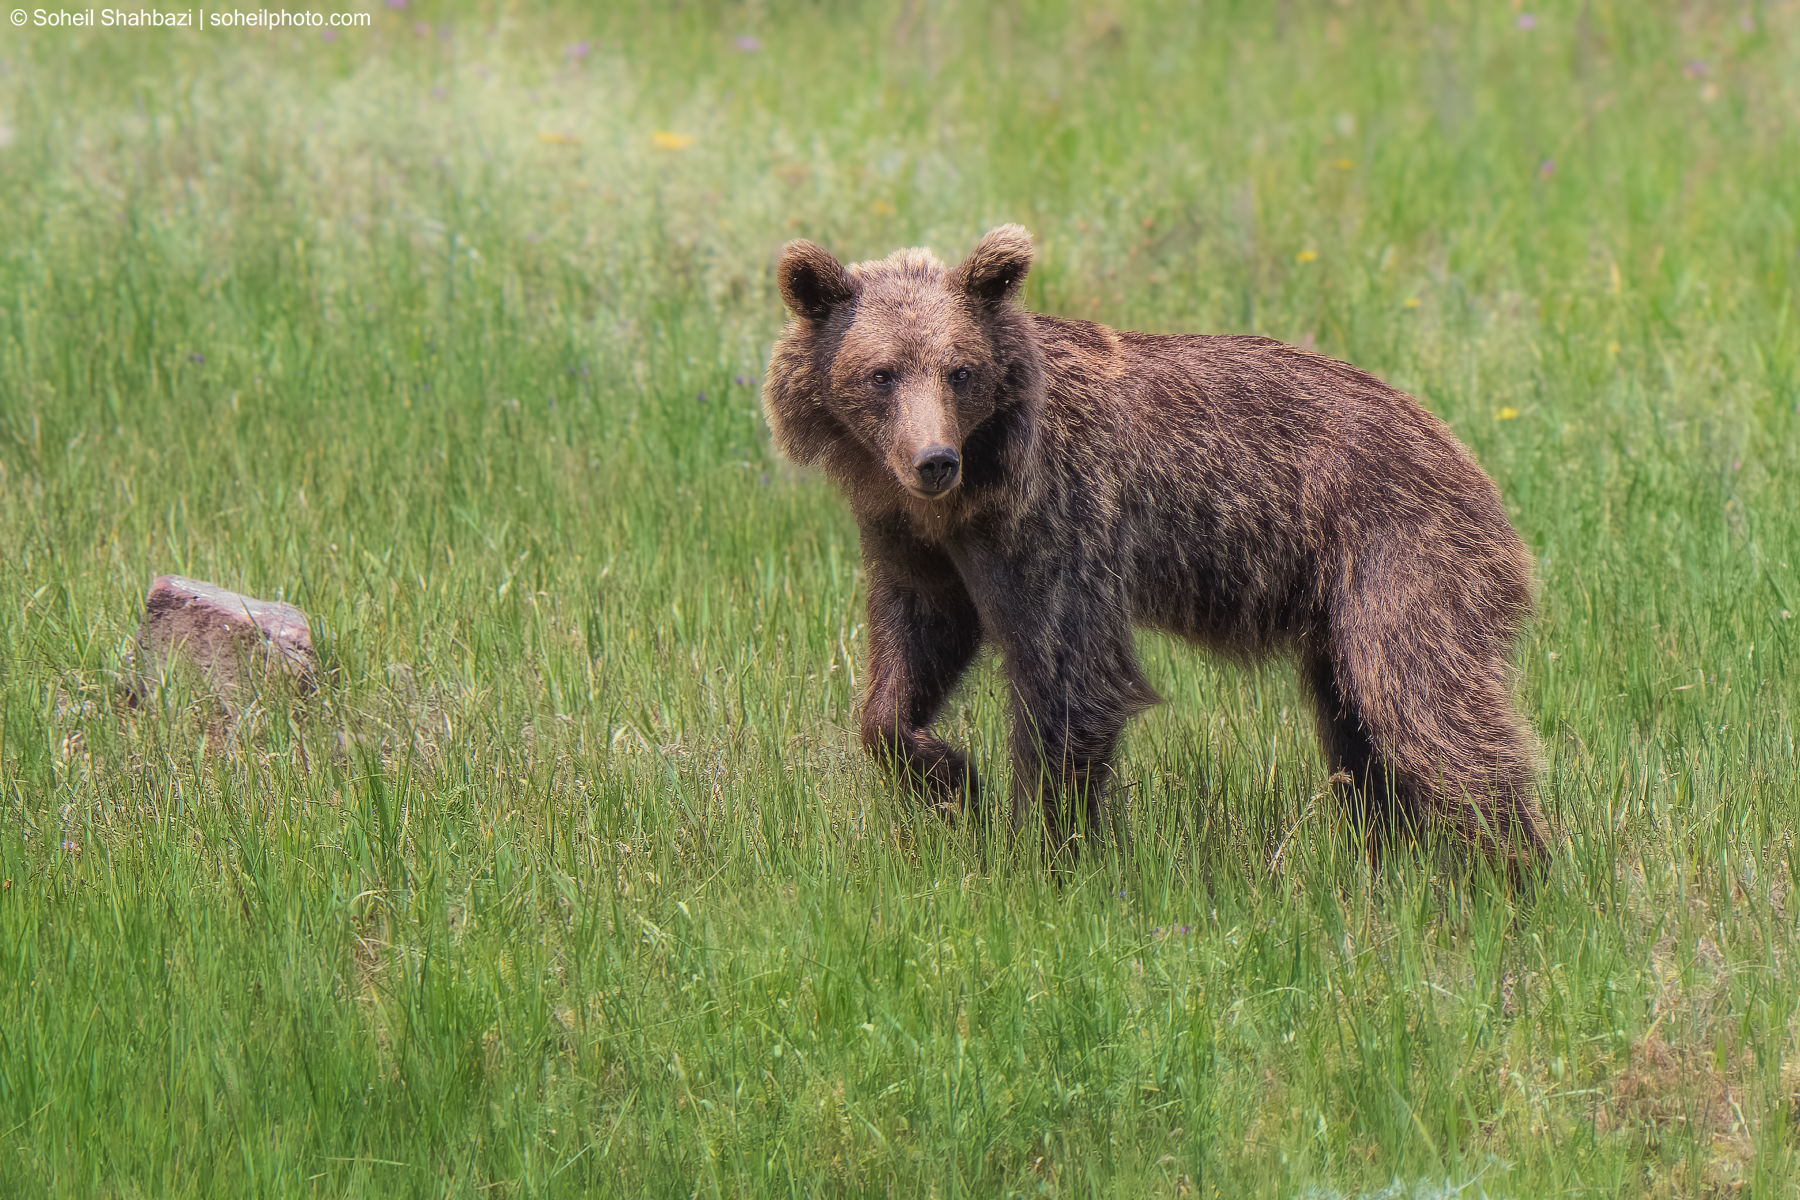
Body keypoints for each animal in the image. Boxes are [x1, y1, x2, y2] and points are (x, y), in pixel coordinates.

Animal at [762, 224, 1551, 873]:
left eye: (960, 370)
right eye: (881, 373)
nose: (933, 460)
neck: (977, 485)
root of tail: (1467, 459)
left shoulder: (1057, 522)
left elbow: (1071, 680)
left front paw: (1044, 854)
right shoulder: (917, 541)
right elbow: (913, 649)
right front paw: (947, 773)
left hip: (1401, 553)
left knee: (1425, 703)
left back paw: (1515, 871)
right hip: (1339, 610)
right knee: (1355, 731)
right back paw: (1389, 855)